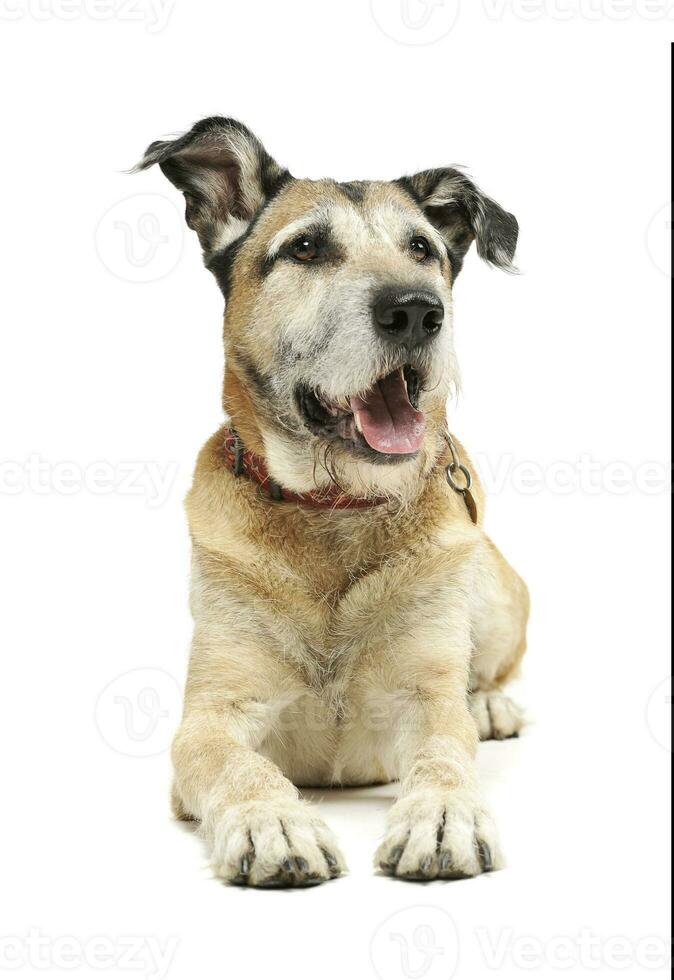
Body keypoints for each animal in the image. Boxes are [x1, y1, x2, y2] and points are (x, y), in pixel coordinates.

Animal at [134, 115, 528, 888]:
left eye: (422, 249)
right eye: (307, 248)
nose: (416, 310)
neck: (333, 508)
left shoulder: (427, 700)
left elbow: (446, 750)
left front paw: (445, 814)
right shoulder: (209, 718)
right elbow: (239, 765)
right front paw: (272, 821)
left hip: (495, 592)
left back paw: (492, 701)